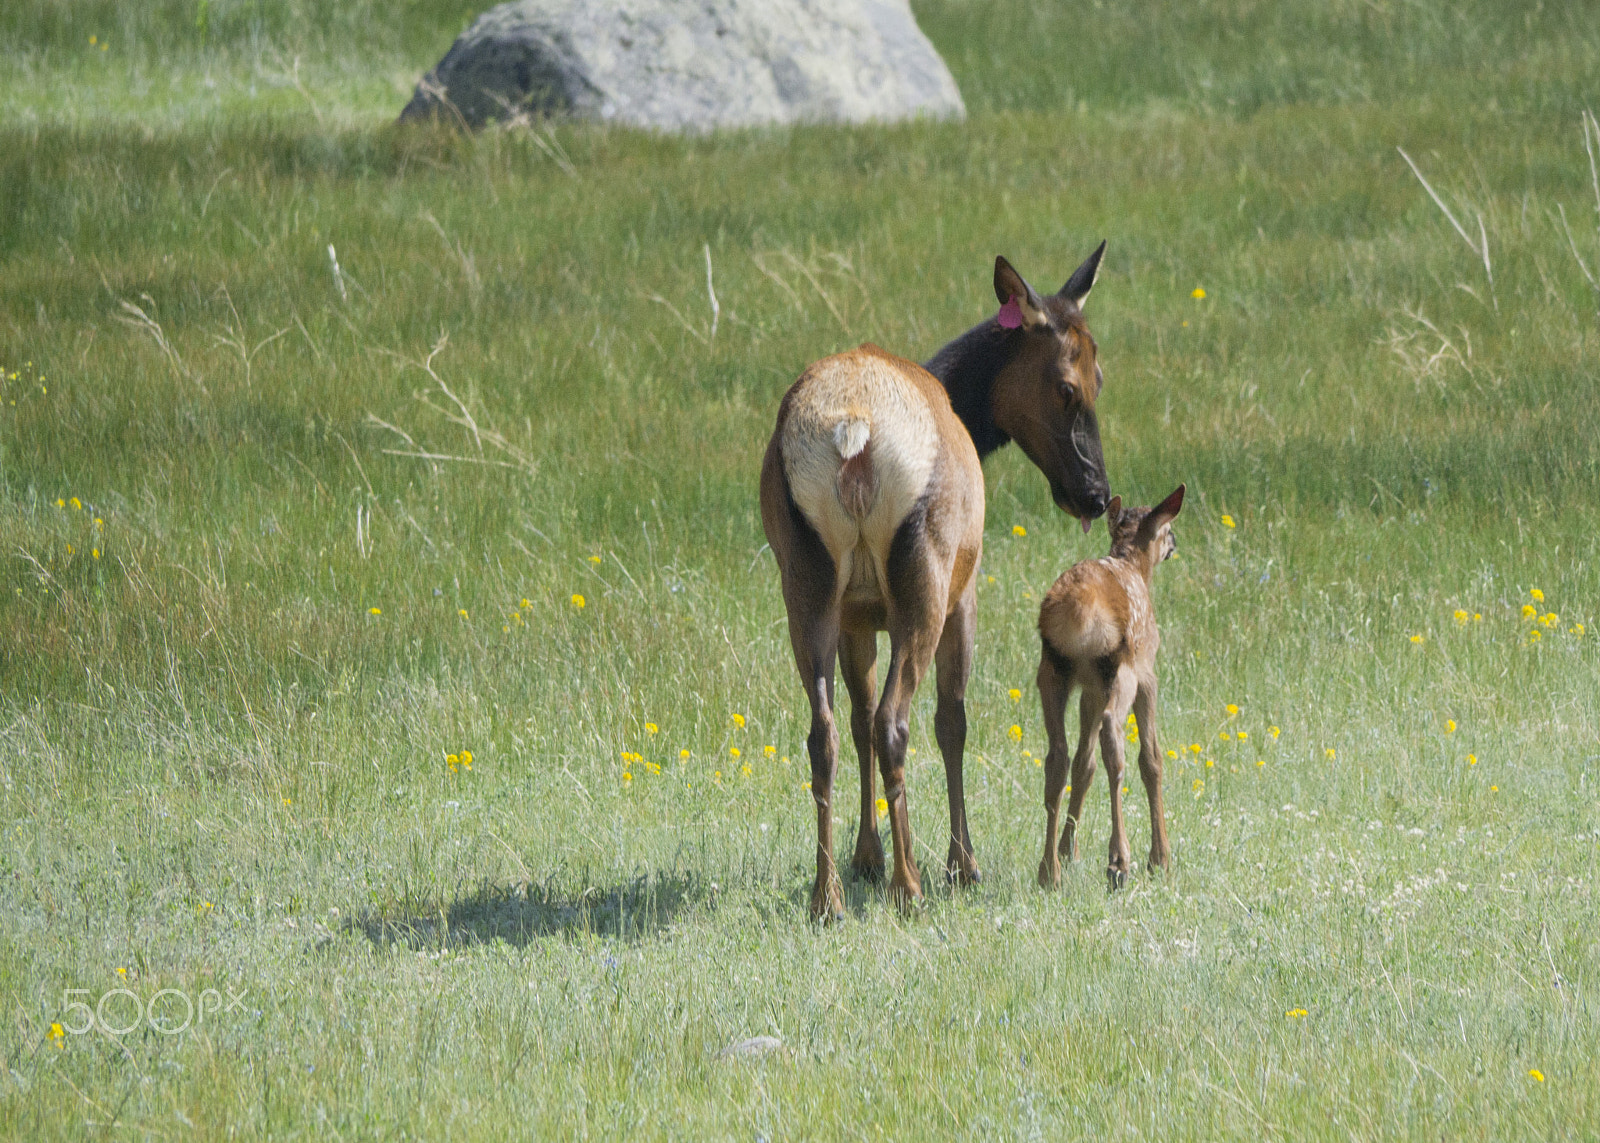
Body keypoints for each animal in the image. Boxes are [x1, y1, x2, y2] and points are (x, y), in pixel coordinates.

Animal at [759, 245, 1113, 920]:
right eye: (1073, 383)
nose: (1096, 493)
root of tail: (853, 434)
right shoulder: (963, 593)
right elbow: (953, 721)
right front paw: (961, 863)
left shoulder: (857, 615)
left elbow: (858, 714)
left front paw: (865, 855)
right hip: (925, 572)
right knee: (896, 723)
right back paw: (911, 884)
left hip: (806, 579)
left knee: (827, 732)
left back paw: (828, 893)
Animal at [1034, 484, 1185, 892]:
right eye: (1167, 530)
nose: (1174, 543)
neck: (1134, 567)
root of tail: (1078, 611)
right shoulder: (1148, 673)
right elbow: (1152, 759)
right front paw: (1160, 858)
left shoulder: (1089, 687)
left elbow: (1083, 765)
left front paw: (1069, 850)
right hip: (1123, 670)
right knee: (1113, 740)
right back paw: (1119, 861)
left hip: (1052, 670)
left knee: (1059, 755)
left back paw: (1049, 869)